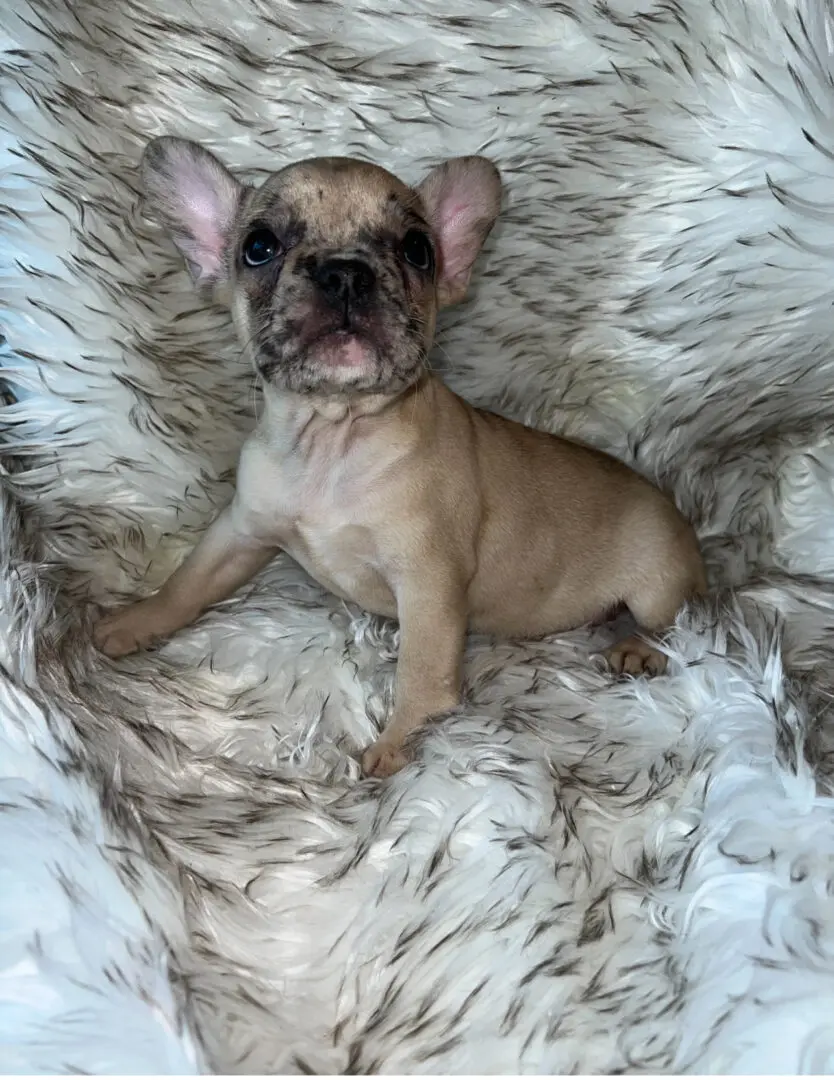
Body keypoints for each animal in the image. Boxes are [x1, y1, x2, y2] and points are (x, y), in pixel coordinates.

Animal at [94, 139, 708, 777]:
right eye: (258, 247)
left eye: (418, 250)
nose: (344, 270)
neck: (332, 437)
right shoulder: (241, 531)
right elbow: (188, 581)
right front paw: (136, 621)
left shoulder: (428, 584)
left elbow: (422, 669)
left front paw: (401, 747)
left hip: (657, 580)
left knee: (676, 626)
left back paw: (636, 648)